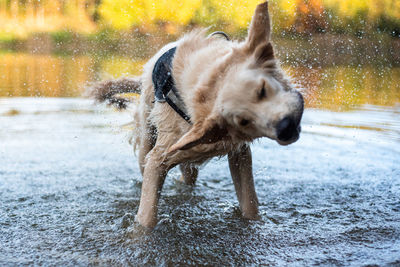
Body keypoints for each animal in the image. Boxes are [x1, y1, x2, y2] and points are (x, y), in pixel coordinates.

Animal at [90, 1, 304, 229]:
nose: (285, 127)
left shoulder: (239, 153)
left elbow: (249, 202)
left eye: (262, 90)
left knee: (188, 177)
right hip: (147, 142)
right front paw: (141, 231)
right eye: (243, 120)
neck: (208, 84)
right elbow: (147, 214)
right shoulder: (158, 158)